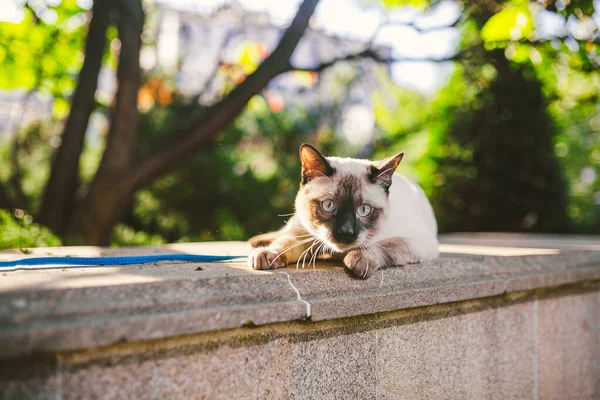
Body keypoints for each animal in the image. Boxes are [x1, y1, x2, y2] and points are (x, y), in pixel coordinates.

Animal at [246, 144, 438, 278]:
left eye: (364, 210)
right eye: (329, 205)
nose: (346, 233)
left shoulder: (418, 241)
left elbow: (386, 244)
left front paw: (359, 260)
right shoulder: (305, 235)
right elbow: (285, 243)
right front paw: (267, 254)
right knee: (280, 234)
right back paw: (258, 244)